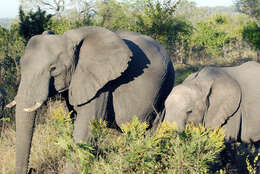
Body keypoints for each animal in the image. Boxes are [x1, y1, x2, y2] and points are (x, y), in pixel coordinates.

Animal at [7, 26, 175, 174]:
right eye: (21, 64)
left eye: (53, 69)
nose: (32, 169)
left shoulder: (101, 86)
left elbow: (84, 132)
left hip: (164, 89)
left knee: (152, 130)